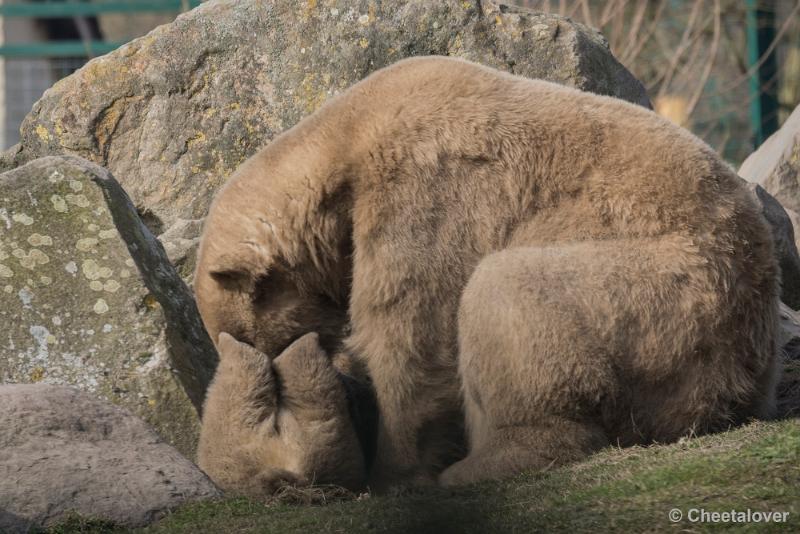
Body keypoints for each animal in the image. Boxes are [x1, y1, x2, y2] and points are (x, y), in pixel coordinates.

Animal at [194, 54, 780, 494]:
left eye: (243, 336)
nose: (263, 367)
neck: (346, 140)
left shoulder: (423, 191)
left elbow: (412, 335)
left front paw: (394, 472)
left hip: (671, 292)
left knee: (507, 292)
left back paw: (484, 463)